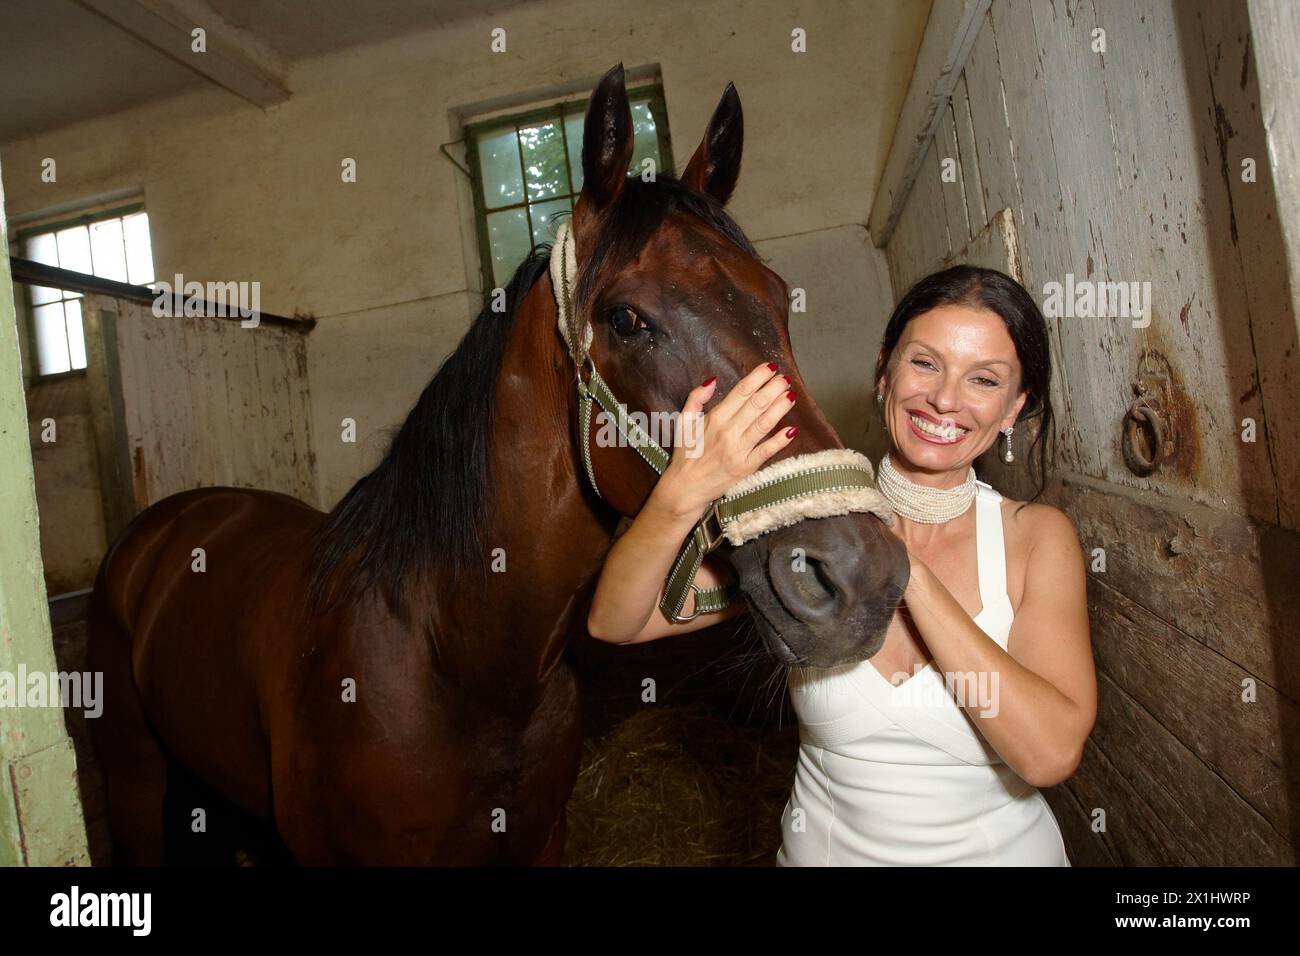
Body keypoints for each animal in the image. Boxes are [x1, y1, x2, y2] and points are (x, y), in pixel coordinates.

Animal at [86, 63, 909, 863]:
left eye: (777, 296)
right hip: (131, 768)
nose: (861, 574)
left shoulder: (542, 840)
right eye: (626, 319)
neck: (465, 665)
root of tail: (177, 515)